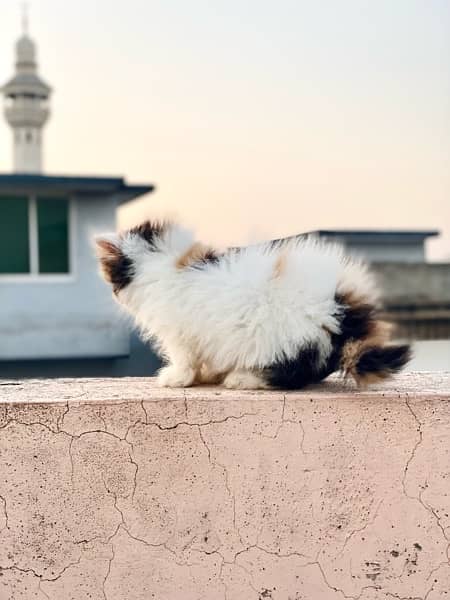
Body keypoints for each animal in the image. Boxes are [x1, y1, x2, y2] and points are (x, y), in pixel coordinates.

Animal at [96, 220, 412, 390]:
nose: (113, 295)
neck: (166, 264)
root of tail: (341, 308)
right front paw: (206, 375)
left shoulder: (180, 334)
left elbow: (185, 359)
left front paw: (176, 378)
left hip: (284, 336)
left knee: (291, 374)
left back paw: (242, 378)